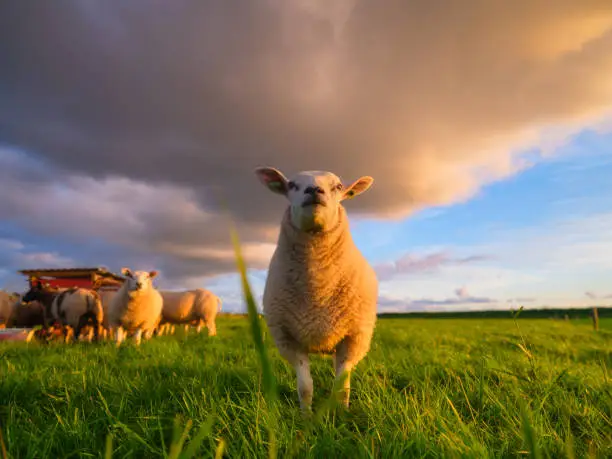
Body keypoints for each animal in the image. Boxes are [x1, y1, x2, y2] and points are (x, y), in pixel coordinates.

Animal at [253, 166, 378, 414]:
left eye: (338, 186)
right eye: (292, 185)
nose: (313, 190)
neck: (318, 288)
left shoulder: (353, 338)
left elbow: (342, 386)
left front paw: (342, 414)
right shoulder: (289, 339)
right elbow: (305, 387)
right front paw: (306, 416)